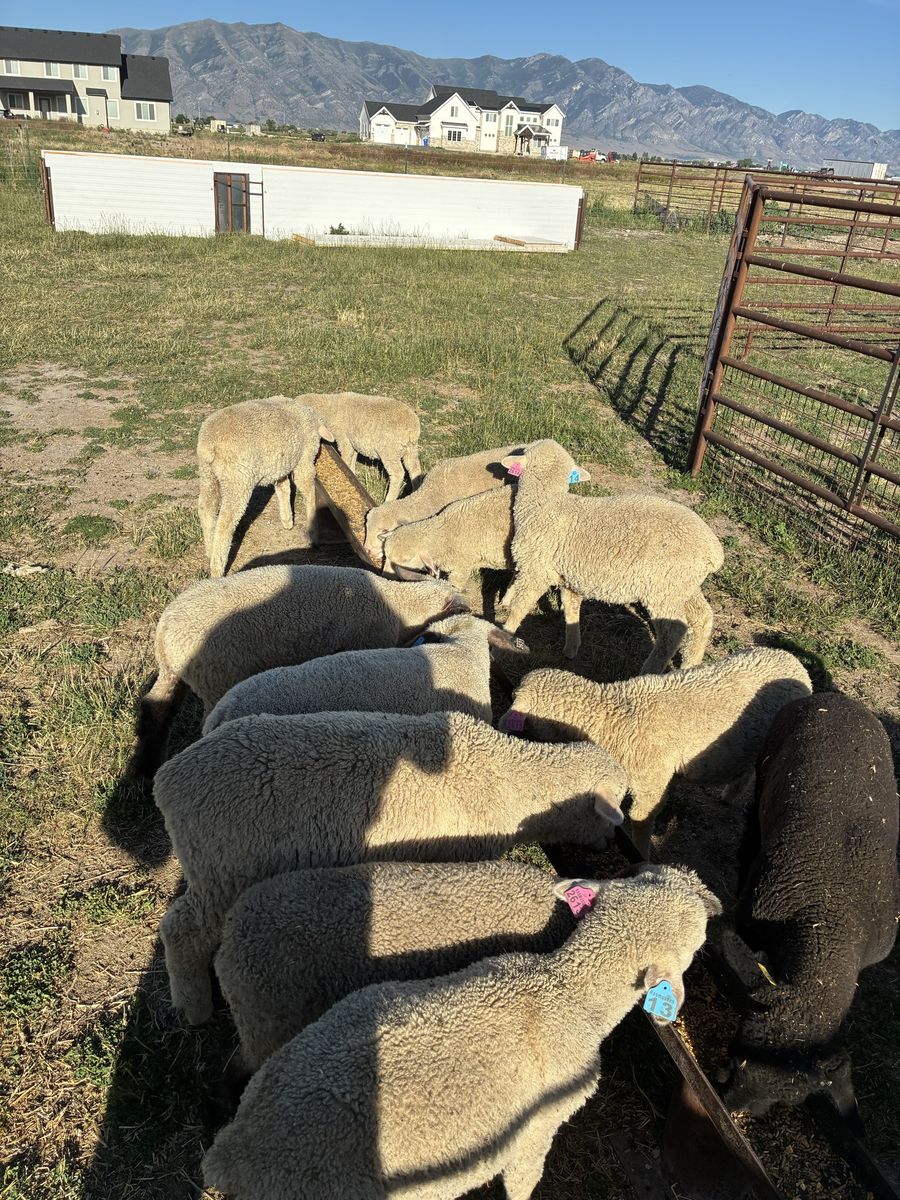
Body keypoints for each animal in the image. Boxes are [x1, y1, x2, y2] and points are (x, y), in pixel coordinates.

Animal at [132, 564, 464, 778]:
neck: (399, 605)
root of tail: (165, 630)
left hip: (173, 674)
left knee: (155, 710)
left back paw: (145, 771)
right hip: (215, 680)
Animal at [155, 710, 628, 1025]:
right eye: (613, 811)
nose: (610, 843)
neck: (514, 782)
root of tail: (168, 779)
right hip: (220, 872)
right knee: (181, 930)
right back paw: (193, 1008)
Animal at [196, 396, 334, 578]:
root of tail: (210, 445)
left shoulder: (281, 464)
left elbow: (284, 488)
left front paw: (287, 520)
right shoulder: (303, 460)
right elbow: (308, 491)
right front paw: (313, 532)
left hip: (208, 475)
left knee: (206, 509)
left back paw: (209, 550)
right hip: (237, 479)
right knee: (225, 523)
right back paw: (217, 568)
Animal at [498, 439, 724, 668]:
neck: (545, 504)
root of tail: (714, 551)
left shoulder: (536, 570)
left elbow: (520, 606)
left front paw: (505, 633)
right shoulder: (569, 578)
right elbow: (571, 608)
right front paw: (571, 647)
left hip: (663, 588)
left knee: (673, 632)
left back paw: (650, 669)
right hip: (682, 584)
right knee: (703, 617)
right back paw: (690, 664)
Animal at [499, 648, 812, 853]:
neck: (614, 719)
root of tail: (793, 662)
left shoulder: (651, 783)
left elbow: (640, 819)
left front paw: (643, 855)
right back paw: (729, 795)